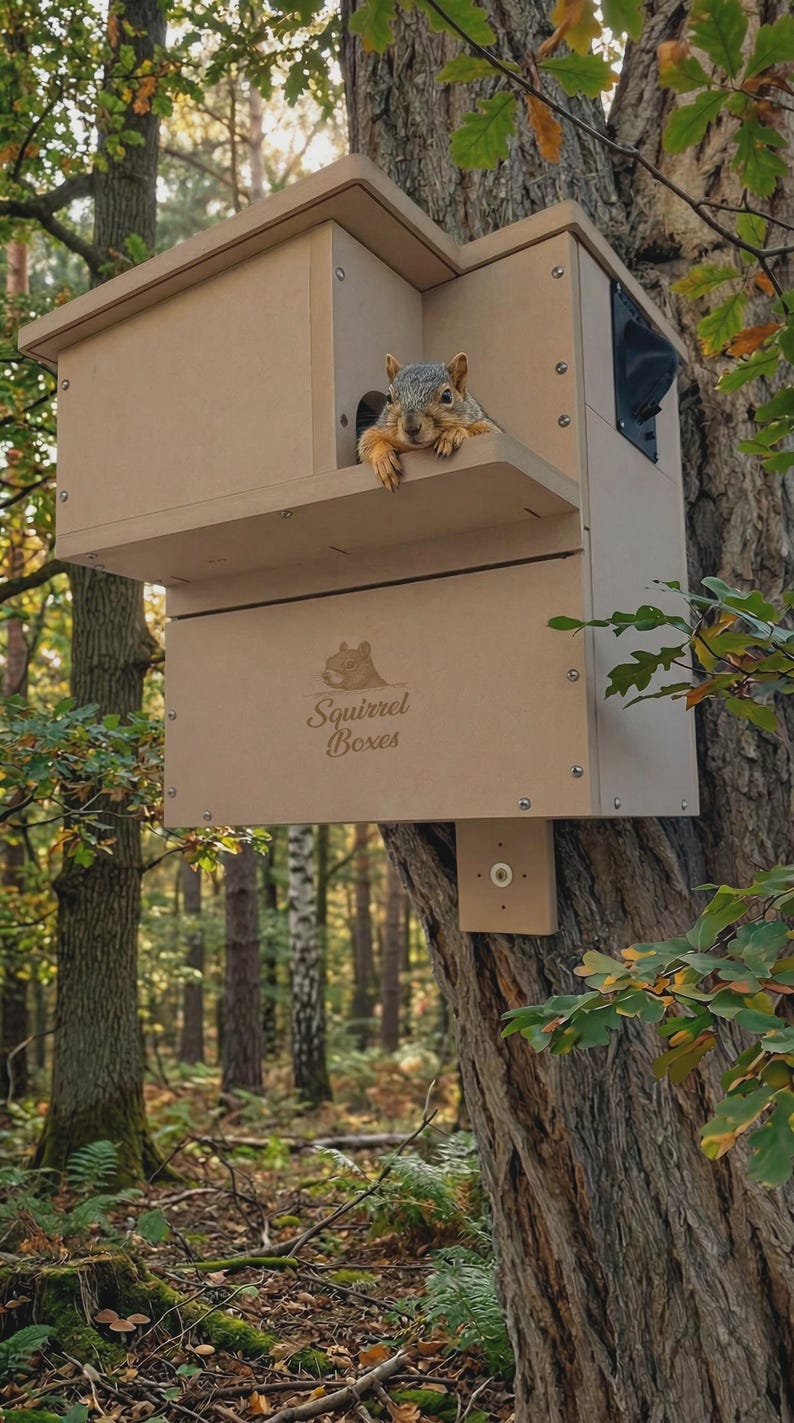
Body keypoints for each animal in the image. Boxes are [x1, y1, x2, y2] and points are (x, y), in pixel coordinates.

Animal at [358, 352, 501, 492]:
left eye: (447, 396)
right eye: (388, 397)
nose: (411, 428)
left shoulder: (486, 425)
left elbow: (488, 430)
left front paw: (452, 434)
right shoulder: (382, 428)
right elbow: (367, 440)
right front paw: (383, 459)